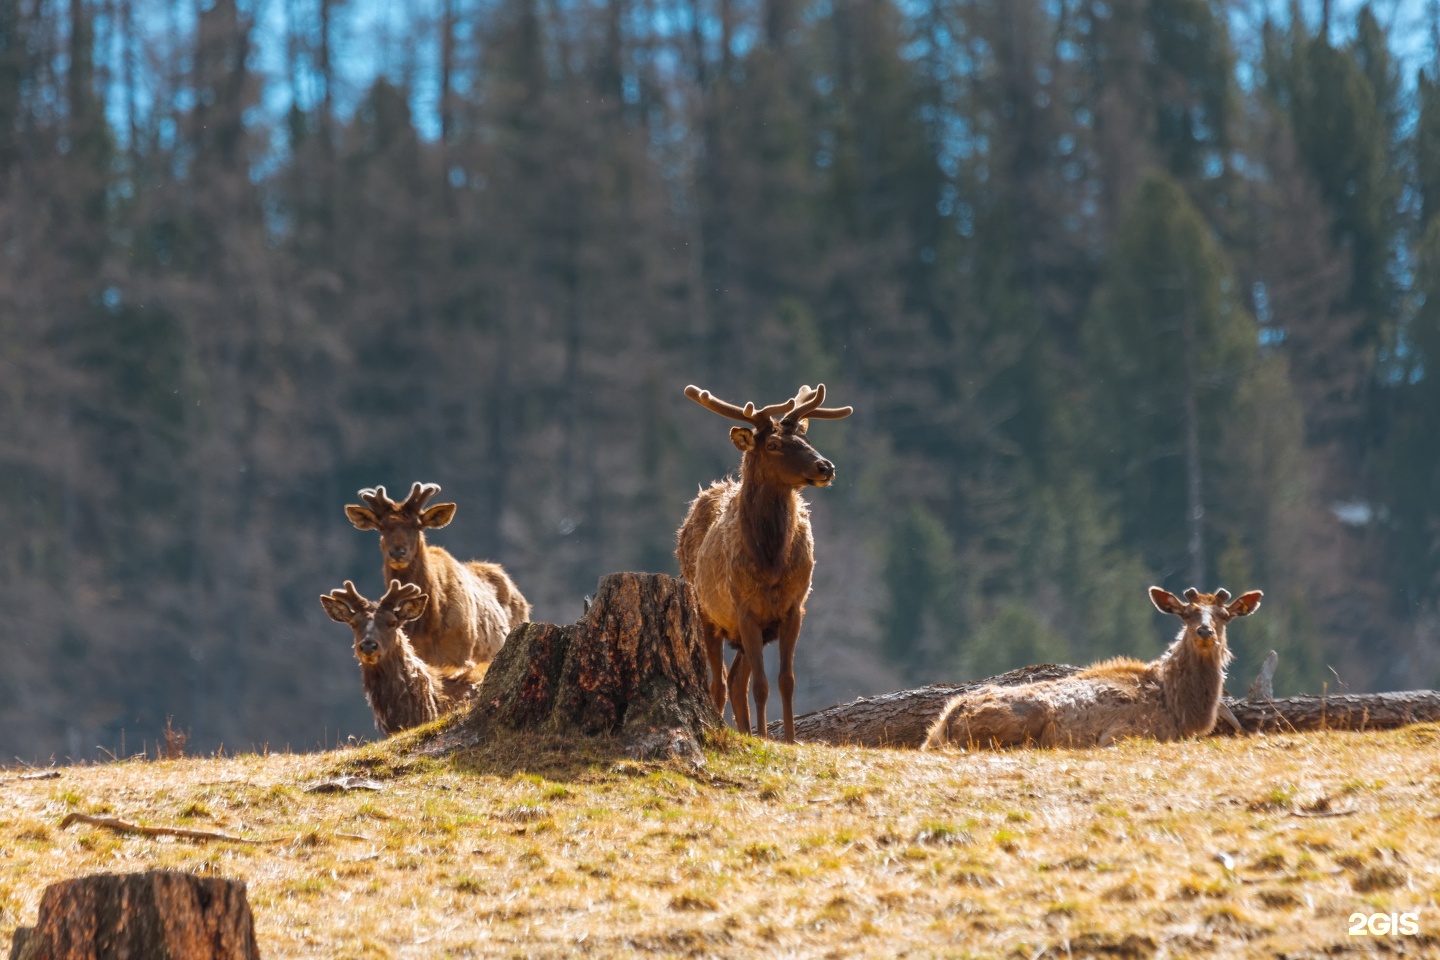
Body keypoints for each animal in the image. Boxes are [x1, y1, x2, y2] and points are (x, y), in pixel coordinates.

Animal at [676, 382, 852, 742]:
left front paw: (790, 737)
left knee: (735, 681)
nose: (825, 467)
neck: (771, 561)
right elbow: (761, 685)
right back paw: (727, 729)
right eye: (772, 444)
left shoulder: (793, 609)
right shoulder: (745, 609)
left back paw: (745, 731)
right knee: (720, 683)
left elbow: (787, 681)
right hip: (707, 613)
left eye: (805, 438)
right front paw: (766, 737)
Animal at [921, 587, 1261, 748]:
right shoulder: (1125, 732)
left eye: (1224, 615)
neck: (1182, 710)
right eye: (1187, 613)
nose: (1205, 631)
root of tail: (946, 720)